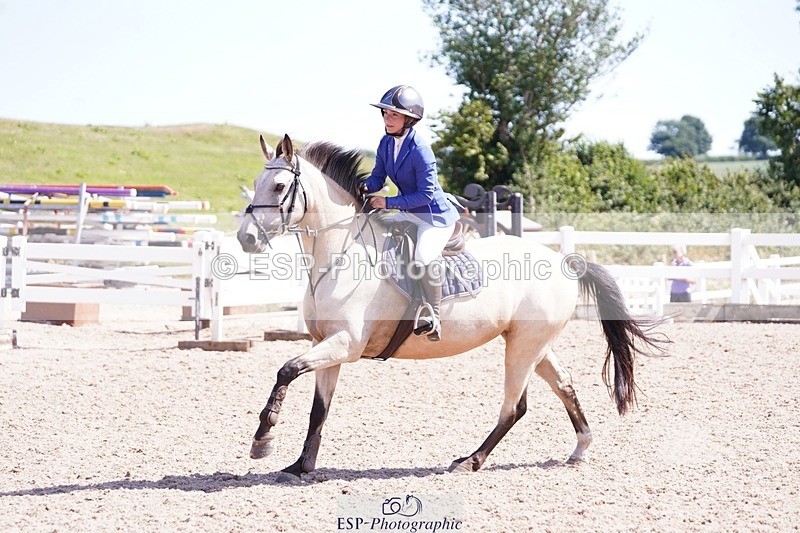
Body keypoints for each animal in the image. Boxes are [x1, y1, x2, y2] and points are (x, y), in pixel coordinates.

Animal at [236, 134, 666, 482]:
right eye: (253, 186)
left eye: (278, 186)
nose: (246, 238)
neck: (341, 254)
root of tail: (564, 261)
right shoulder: (326, 344)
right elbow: (318, 408)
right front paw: (301, 466)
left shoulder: (346, 343)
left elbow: (286, 369)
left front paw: (263, 438)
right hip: (534, 342)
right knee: (564, 385)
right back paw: (580, 448)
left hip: (524, 346)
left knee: (514, 406)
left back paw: (470, 461)